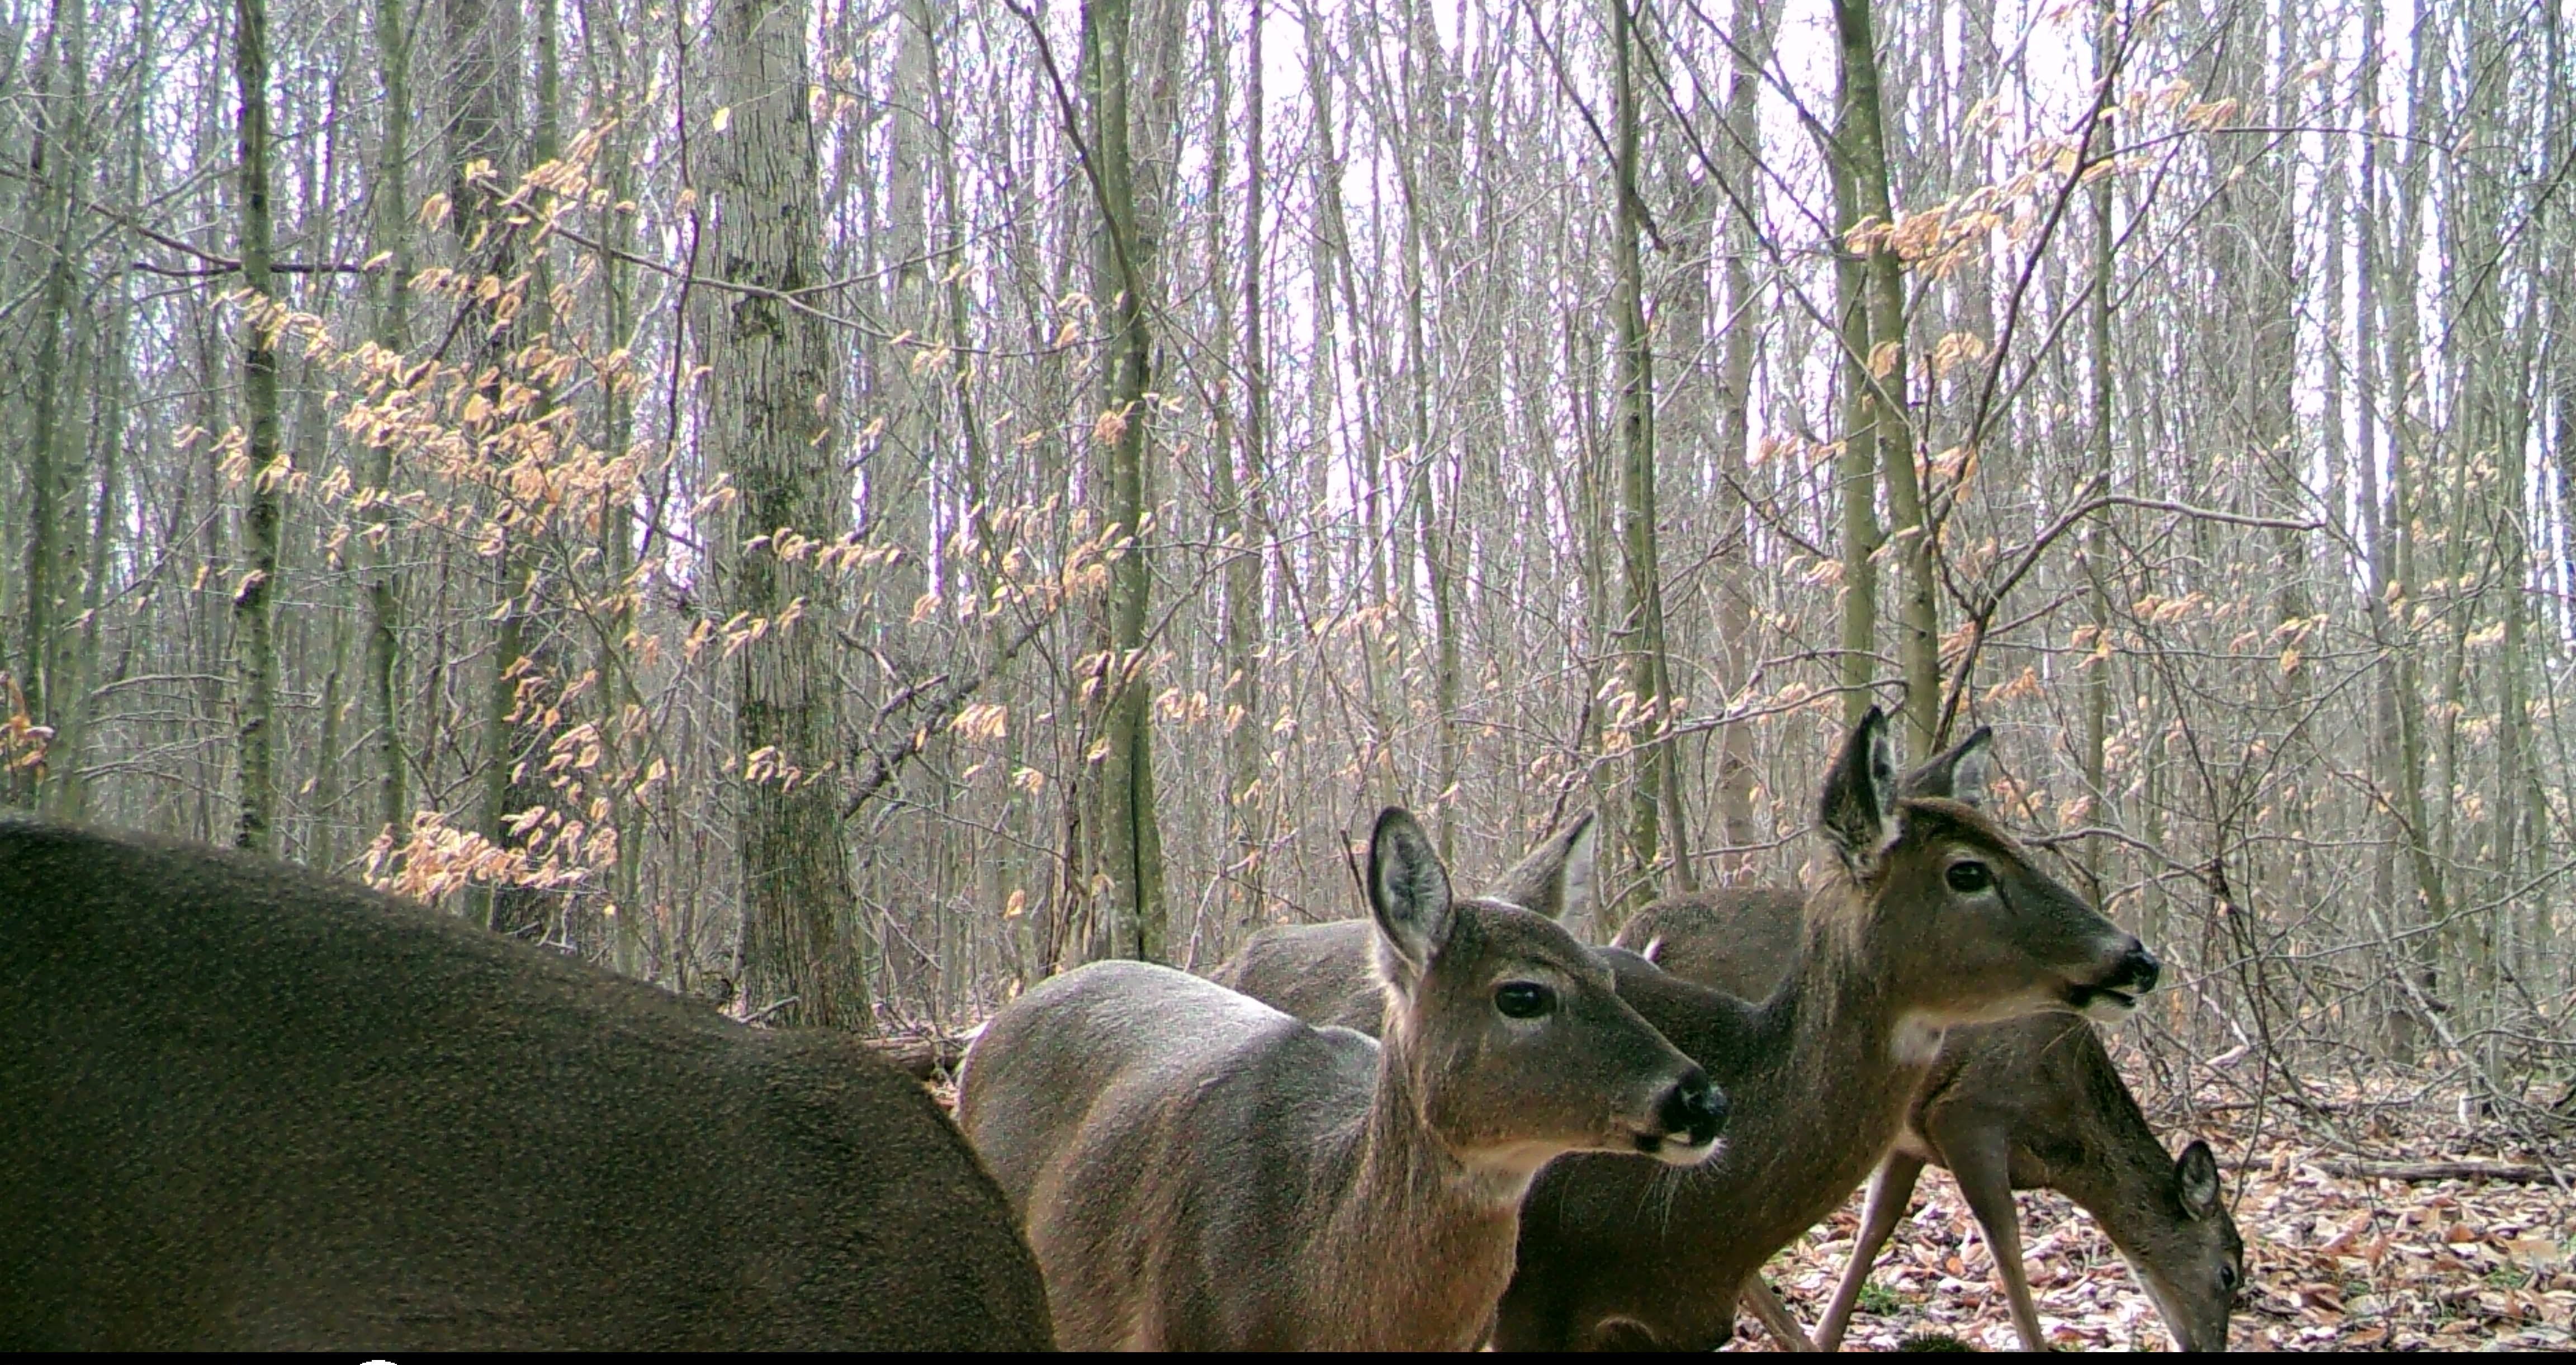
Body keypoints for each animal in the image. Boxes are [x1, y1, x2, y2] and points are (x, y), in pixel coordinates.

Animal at [1617, 885, 2246, 1339]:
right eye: (2228, 1273)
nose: (2208, 1345)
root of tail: (1646, 933)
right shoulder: (1967, 1113)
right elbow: (2006, 1244)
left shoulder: (1909, 1140)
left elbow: (1877, 1228)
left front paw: (1826, 1336)